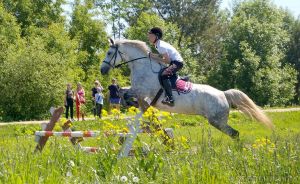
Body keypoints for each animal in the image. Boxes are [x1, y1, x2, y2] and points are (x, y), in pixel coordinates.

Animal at [100, 38, 272, 148]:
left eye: (109, 53)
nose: (102, 70)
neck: (142, 67)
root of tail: (224, 94)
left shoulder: (141, 91)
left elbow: (127, 94)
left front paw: (135, 104)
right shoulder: (136, 90)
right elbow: (122, 92)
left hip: (217, 120)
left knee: (234, 133)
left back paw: (238, 150)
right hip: (217, 120)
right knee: (234, 133)